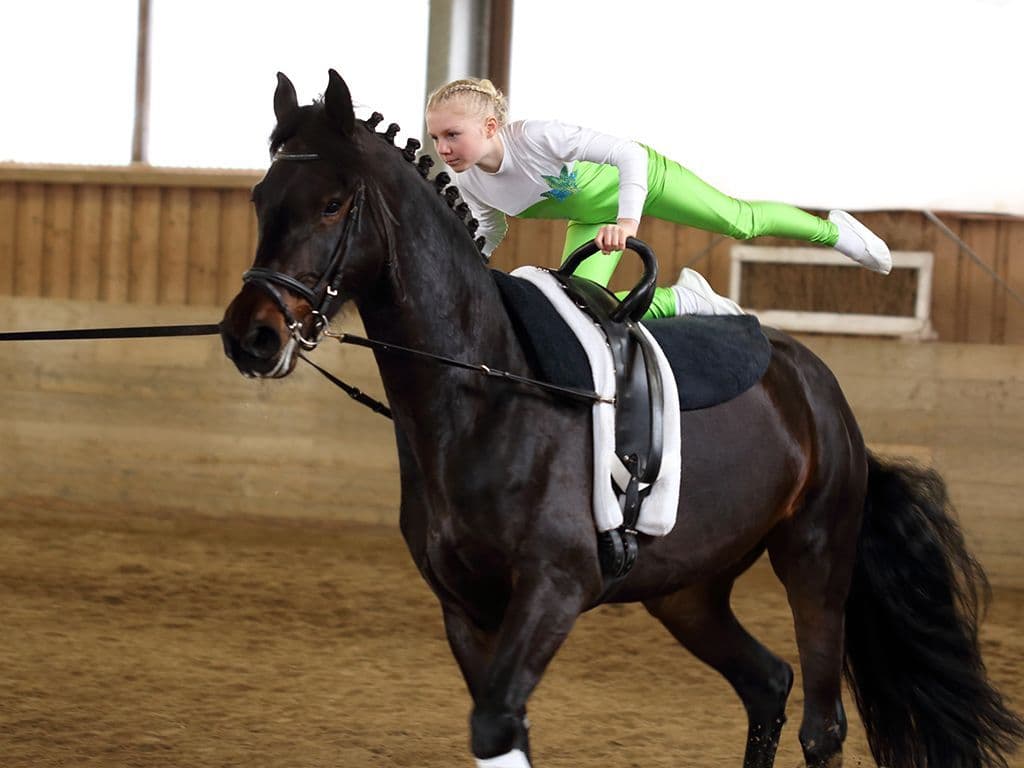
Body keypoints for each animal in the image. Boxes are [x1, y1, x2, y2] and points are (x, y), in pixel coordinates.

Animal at [219, 69, 1023, 768]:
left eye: (332, 203)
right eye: (260, 197)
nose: (250, 336)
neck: (483, 394)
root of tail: (821, 391)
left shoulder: (555, 588)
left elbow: (496, 723)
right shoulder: (466, 609)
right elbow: (504, 730)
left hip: (816, 558)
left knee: (821, 726)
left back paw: (858, 243)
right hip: (686, 590)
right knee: (768, 684)